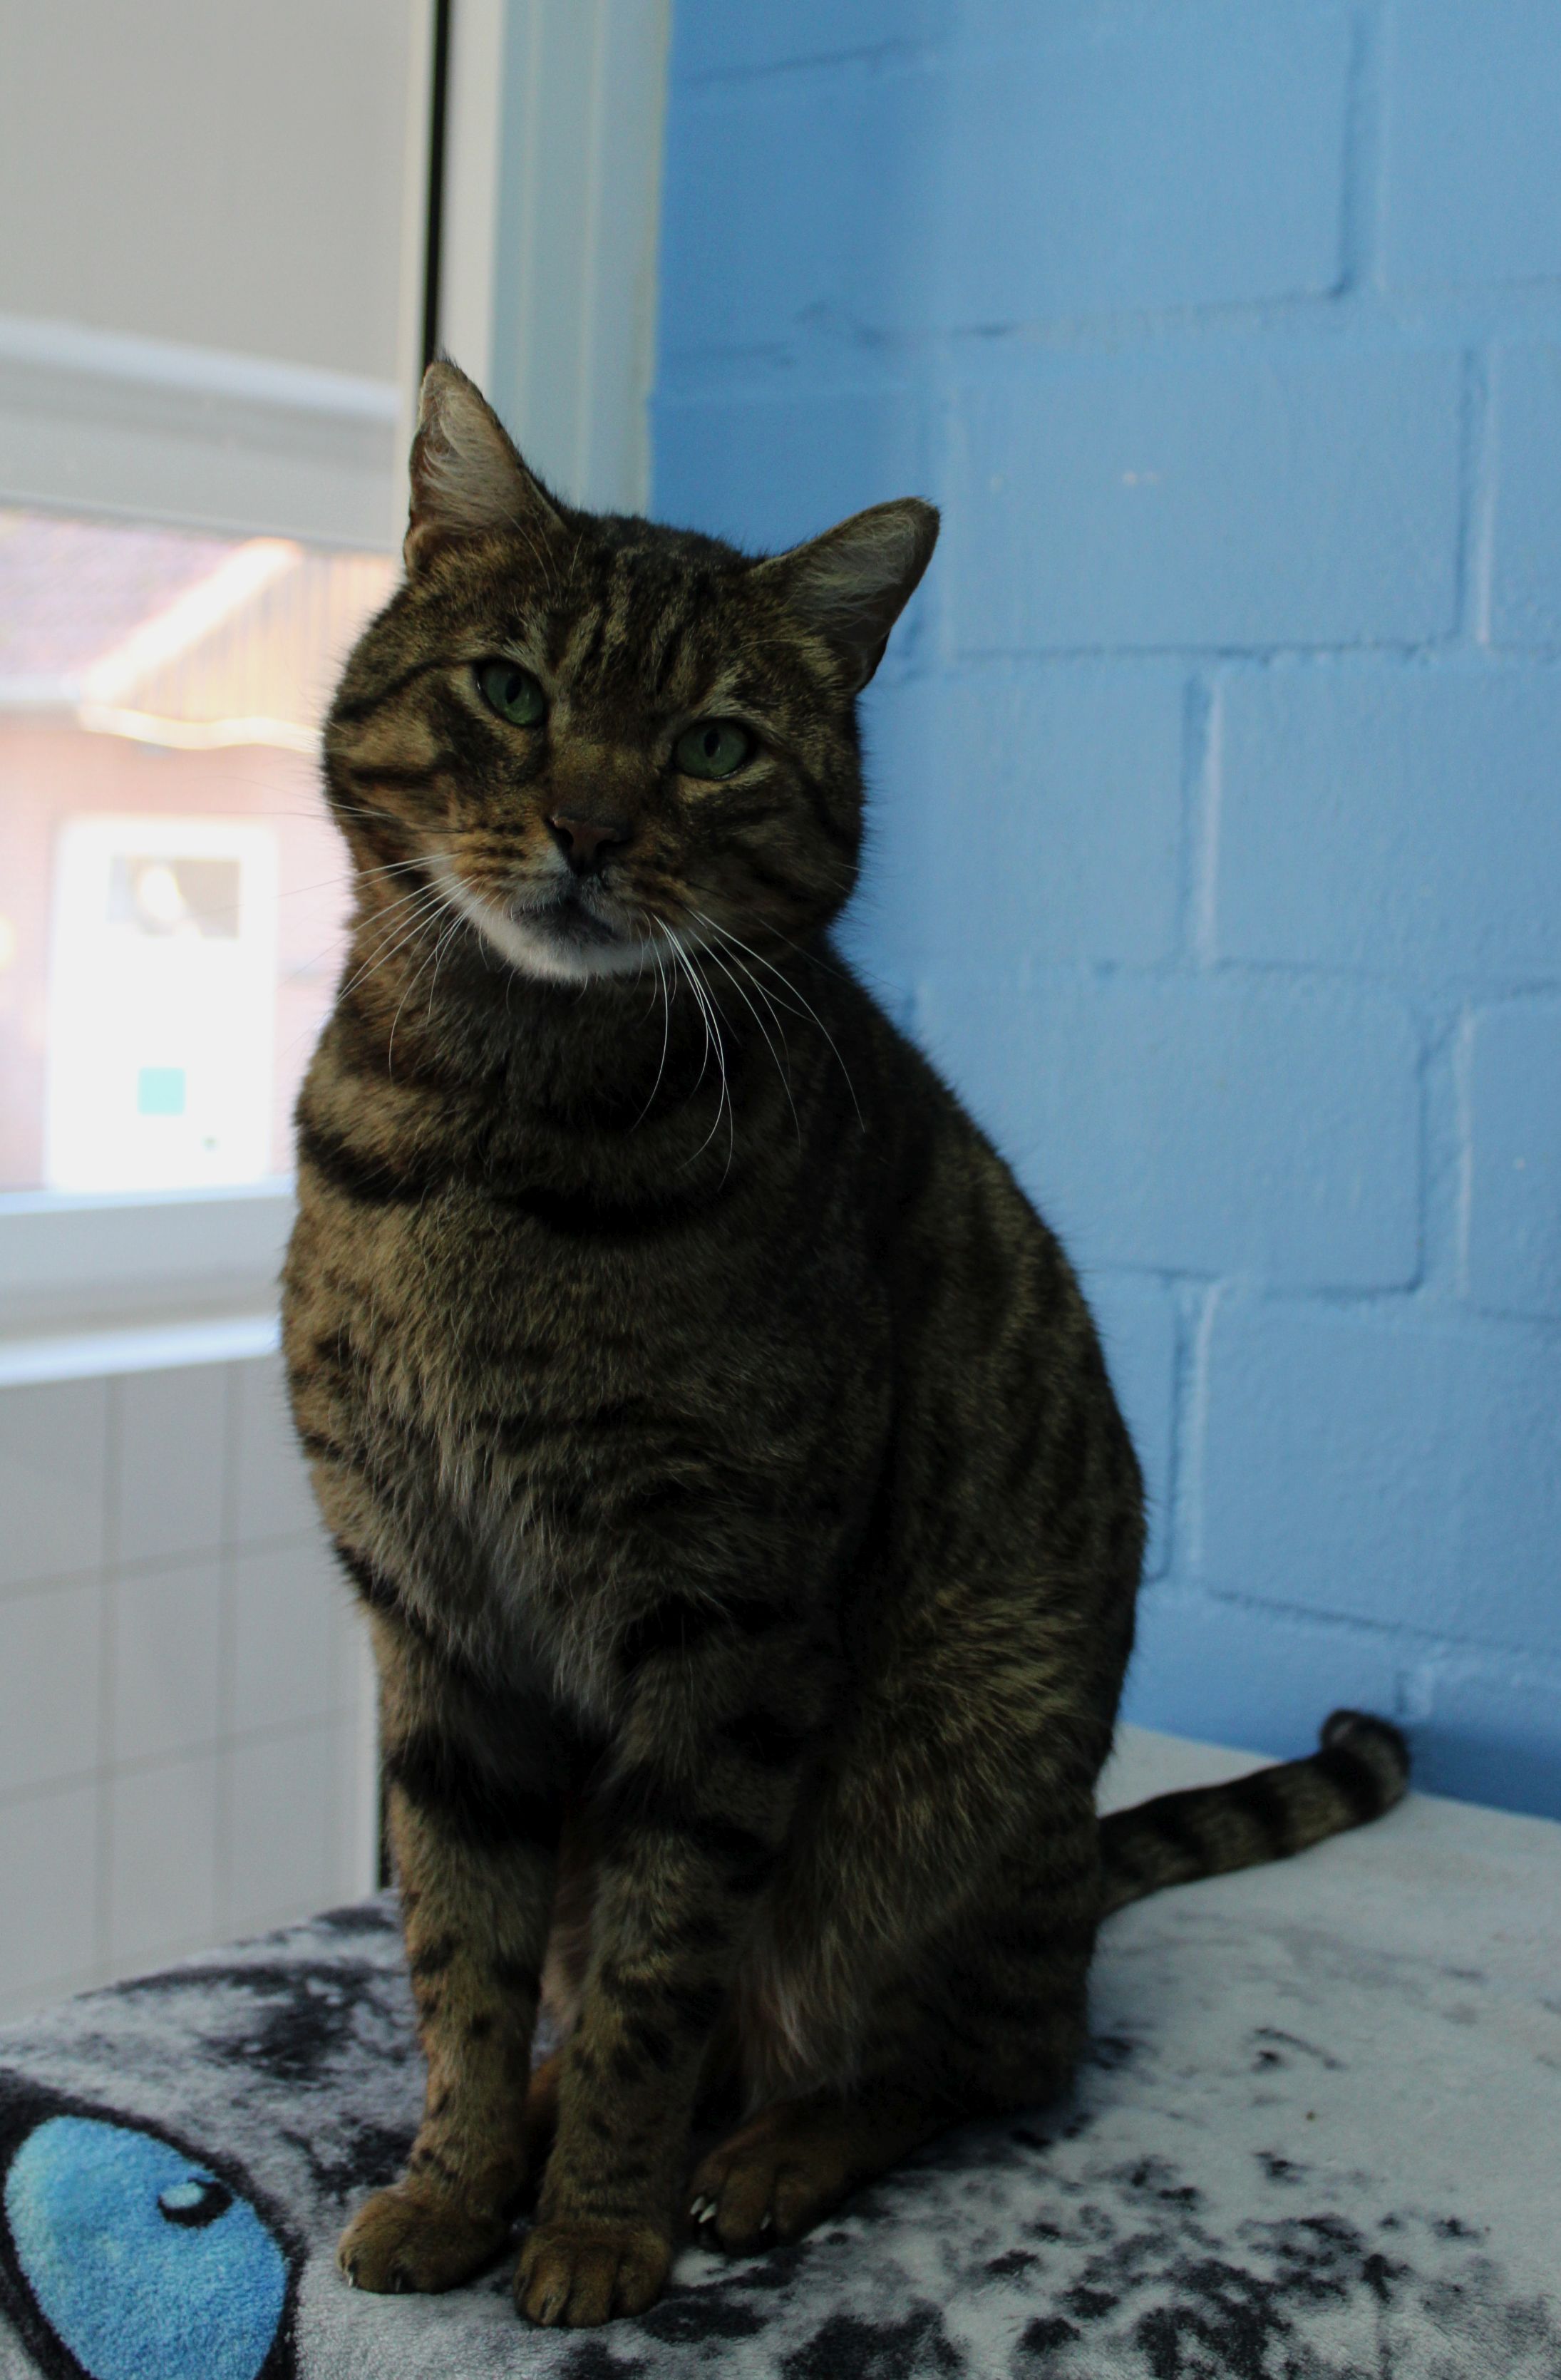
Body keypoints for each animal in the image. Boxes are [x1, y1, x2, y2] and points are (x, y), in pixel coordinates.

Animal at [282, 360, 1409, 2330]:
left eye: (714, 747)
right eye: (514, 692)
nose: (588, 826)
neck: (484, 1123)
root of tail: (1072, 1860)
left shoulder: (724, 1619)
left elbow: (659, 1969)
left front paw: (595, 2224)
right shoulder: (430, 1617)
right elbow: (460, 1955)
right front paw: (461, 2177)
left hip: (937, 1786)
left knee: (972, 2056)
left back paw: (771, 2153)